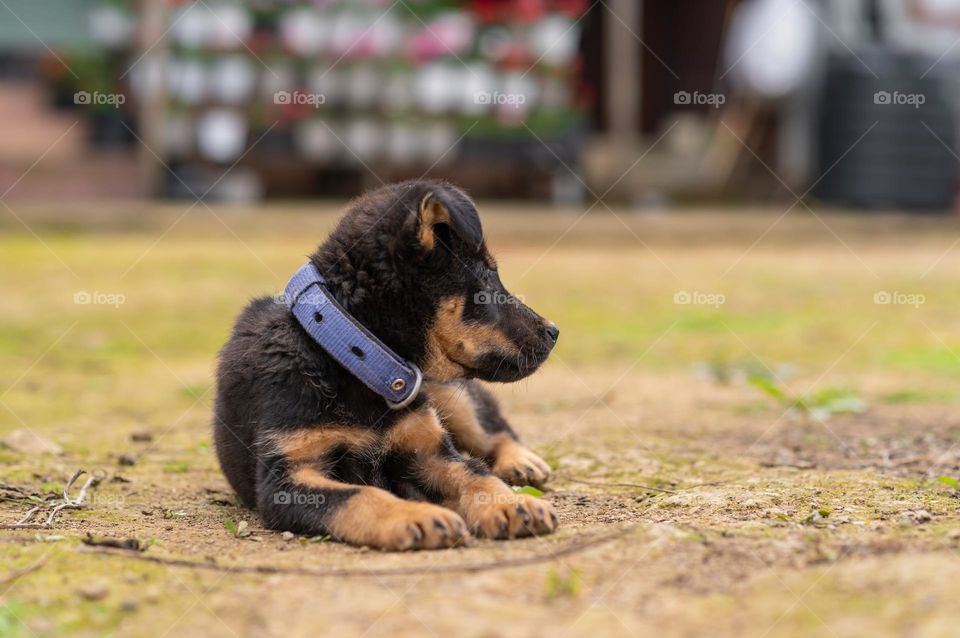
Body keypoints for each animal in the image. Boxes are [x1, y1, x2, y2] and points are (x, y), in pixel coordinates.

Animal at [210, 179, 556, 552]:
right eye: (488, 280)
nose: (554, 332)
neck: (350, 357)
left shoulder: (429, 452)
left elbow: (476, 474)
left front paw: (513, 503)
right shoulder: (288, 476)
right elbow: (360, 495)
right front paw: (417, 516)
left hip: (450, 396)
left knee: (492, 430)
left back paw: (521, 462)